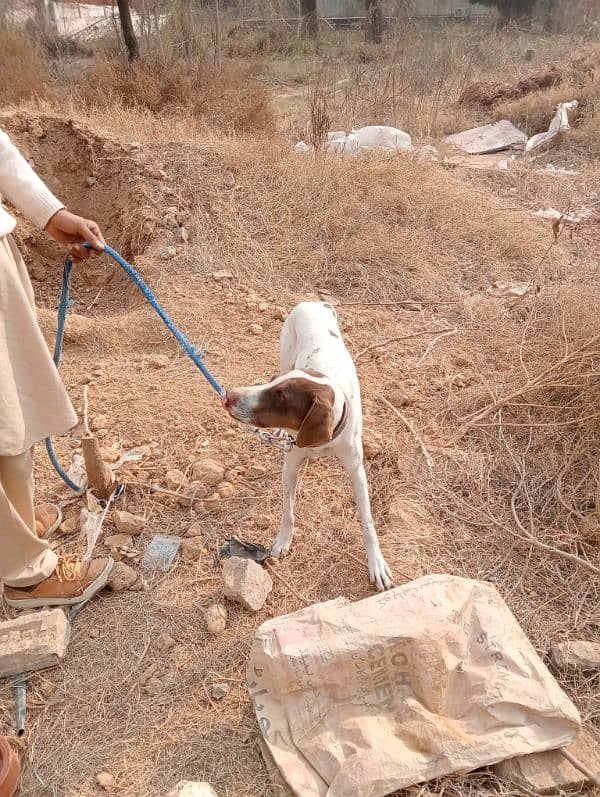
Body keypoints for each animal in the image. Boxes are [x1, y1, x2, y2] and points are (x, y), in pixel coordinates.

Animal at [223, 302, 392, 588]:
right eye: (272, 381)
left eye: (281, 397)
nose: (228, 396)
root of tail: (312, 302)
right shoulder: (291, 464)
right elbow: (287, 511)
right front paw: (283, 541)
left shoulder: (357, 471)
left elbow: (368, 523)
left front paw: (376, 563)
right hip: (286, 352)